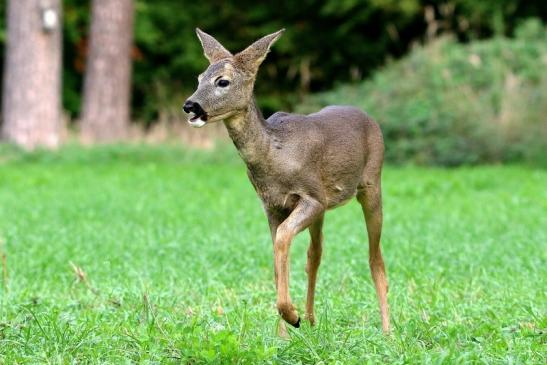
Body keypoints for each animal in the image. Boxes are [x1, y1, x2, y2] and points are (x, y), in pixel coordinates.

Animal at [184, 27, 390, 330]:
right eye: (199, 79)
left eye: (223, 81)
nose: (190, 105)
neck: (275, 155)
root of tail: (369, 118)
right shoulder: (273, 205)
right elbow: (278, 258)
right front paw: (286, 326)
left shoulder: (312, 196)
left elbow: (282, 239)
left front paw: (292, 316)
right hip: (326, 206)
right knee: (315, 253)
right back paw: (313, 320)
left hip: (371, 183)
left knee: (375, 257)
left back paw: (387, 331)